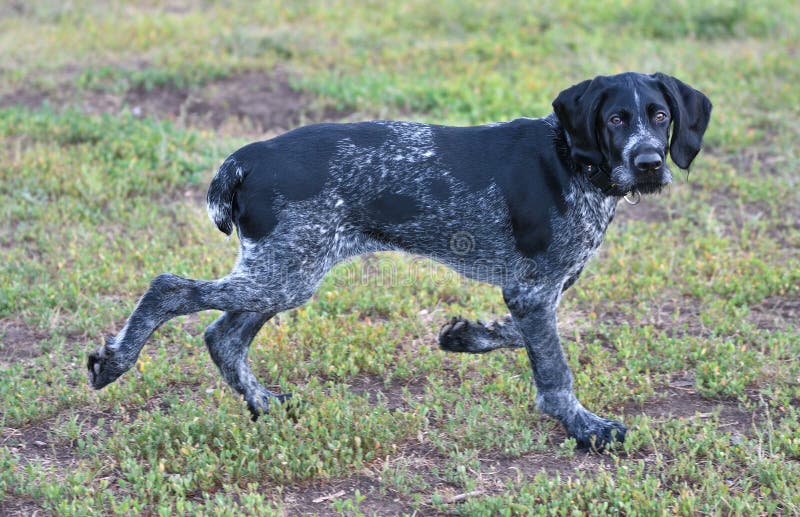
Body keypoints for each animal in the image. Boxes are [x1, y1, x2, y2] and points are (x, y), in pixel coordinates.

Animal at [87, 71, 712, 448]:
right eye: (615, 119)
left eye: (660, 116)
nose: (650, 163)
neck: (572, 161)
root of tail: (247, 156)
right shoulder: (535, 290)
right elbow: (554, 372)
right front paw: (585, 427)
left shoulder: (537, 289)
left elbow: (517, 334)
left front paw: (466, 336)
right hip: (284, 271)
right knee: (169, 288)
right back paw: (115, 361)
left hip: (285, 271)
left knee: (222, 336)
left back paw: (262, 403)